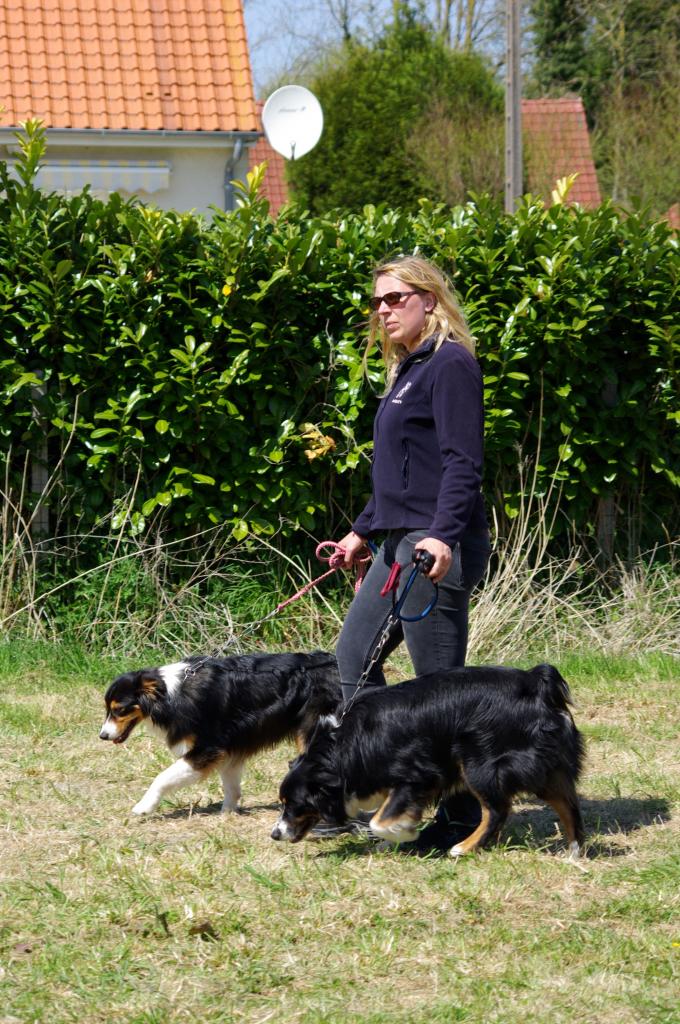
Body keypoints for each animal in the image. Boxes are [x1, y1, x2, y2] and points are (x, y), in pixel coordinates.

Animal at [100, 651, 341, 816]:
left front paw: (144, 806)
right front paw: (227, 813)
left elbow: (162, 777)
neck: (168, 694)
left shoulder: (206, 748)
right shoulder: (230, 745)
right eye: (107, 709)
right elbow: (231, 785)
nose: (102, 736)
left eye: (119, 710)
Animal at [272, 663, 585, 857]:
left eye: (295, 804)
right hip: (541, 765)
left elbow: (379, 819)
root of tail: (536, 682)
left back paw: (464, 847)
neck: (342, 749)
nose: (275, 834)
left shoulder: (419, 775)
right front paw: (390, 841)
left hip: (480, 763)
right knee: (566, 801)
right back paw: (574, 849)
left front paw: (403, 834)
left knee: (497, 810)